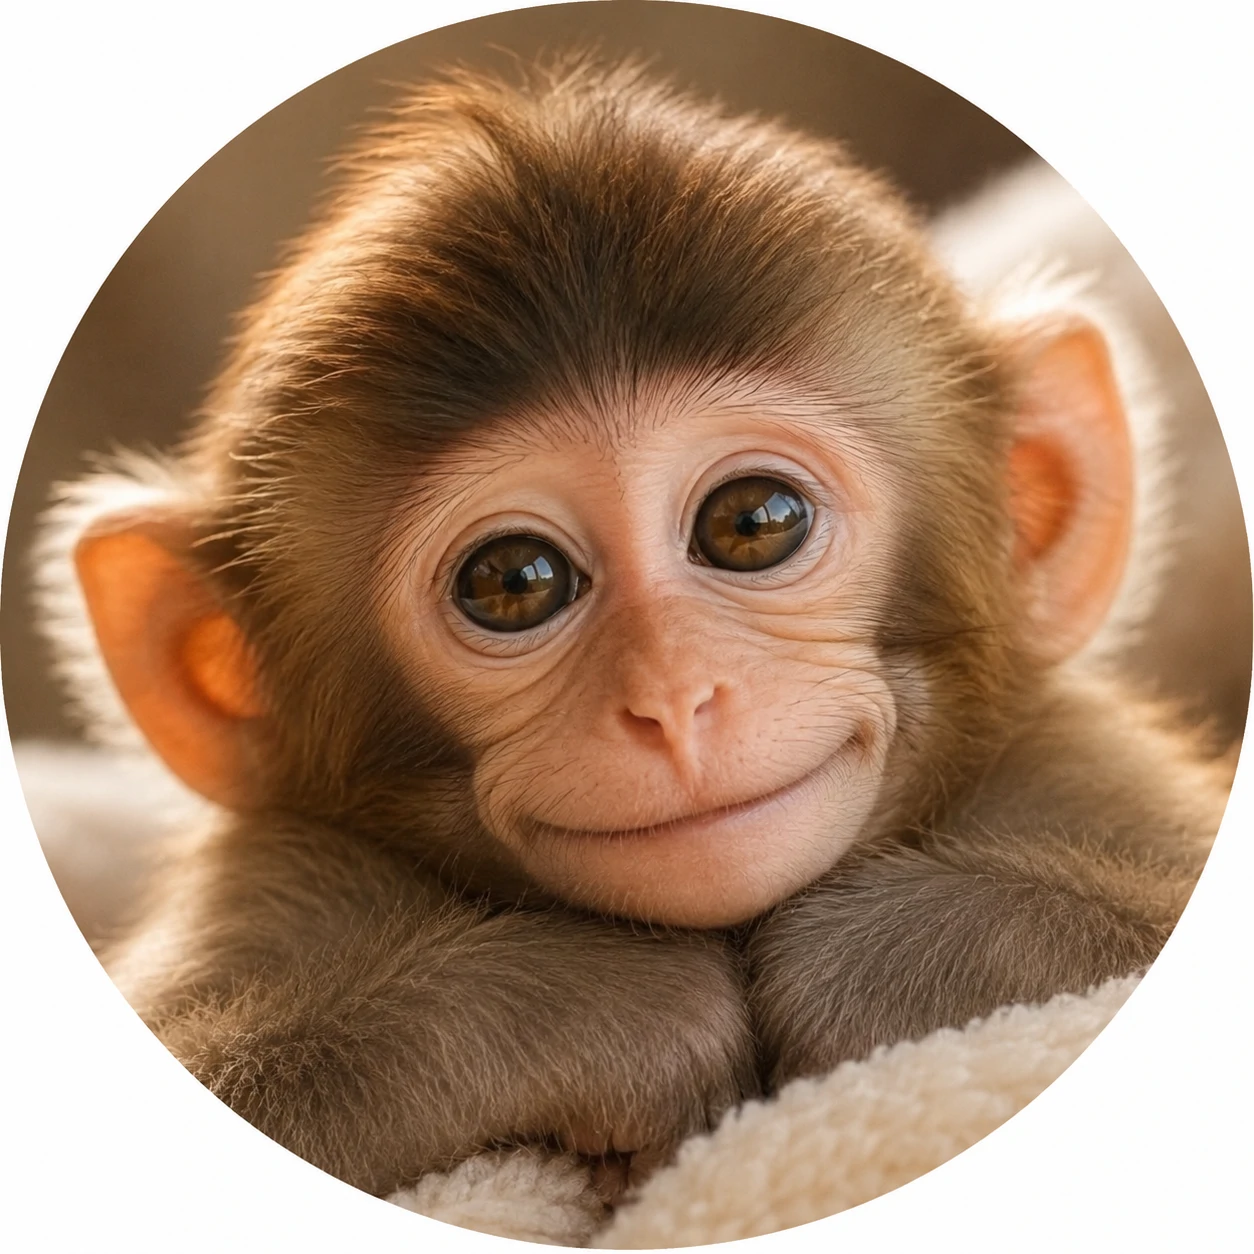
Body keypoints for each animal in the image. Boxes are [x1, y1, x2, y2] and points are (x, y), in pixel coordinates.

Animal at [33, 61, 1231, 1203]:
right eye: (513, 582)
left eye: (752, 523)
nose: (673, 696)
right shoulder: (274, 875)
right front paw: (601, 1013)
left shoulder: (1077, 763)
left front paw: (888, 956)